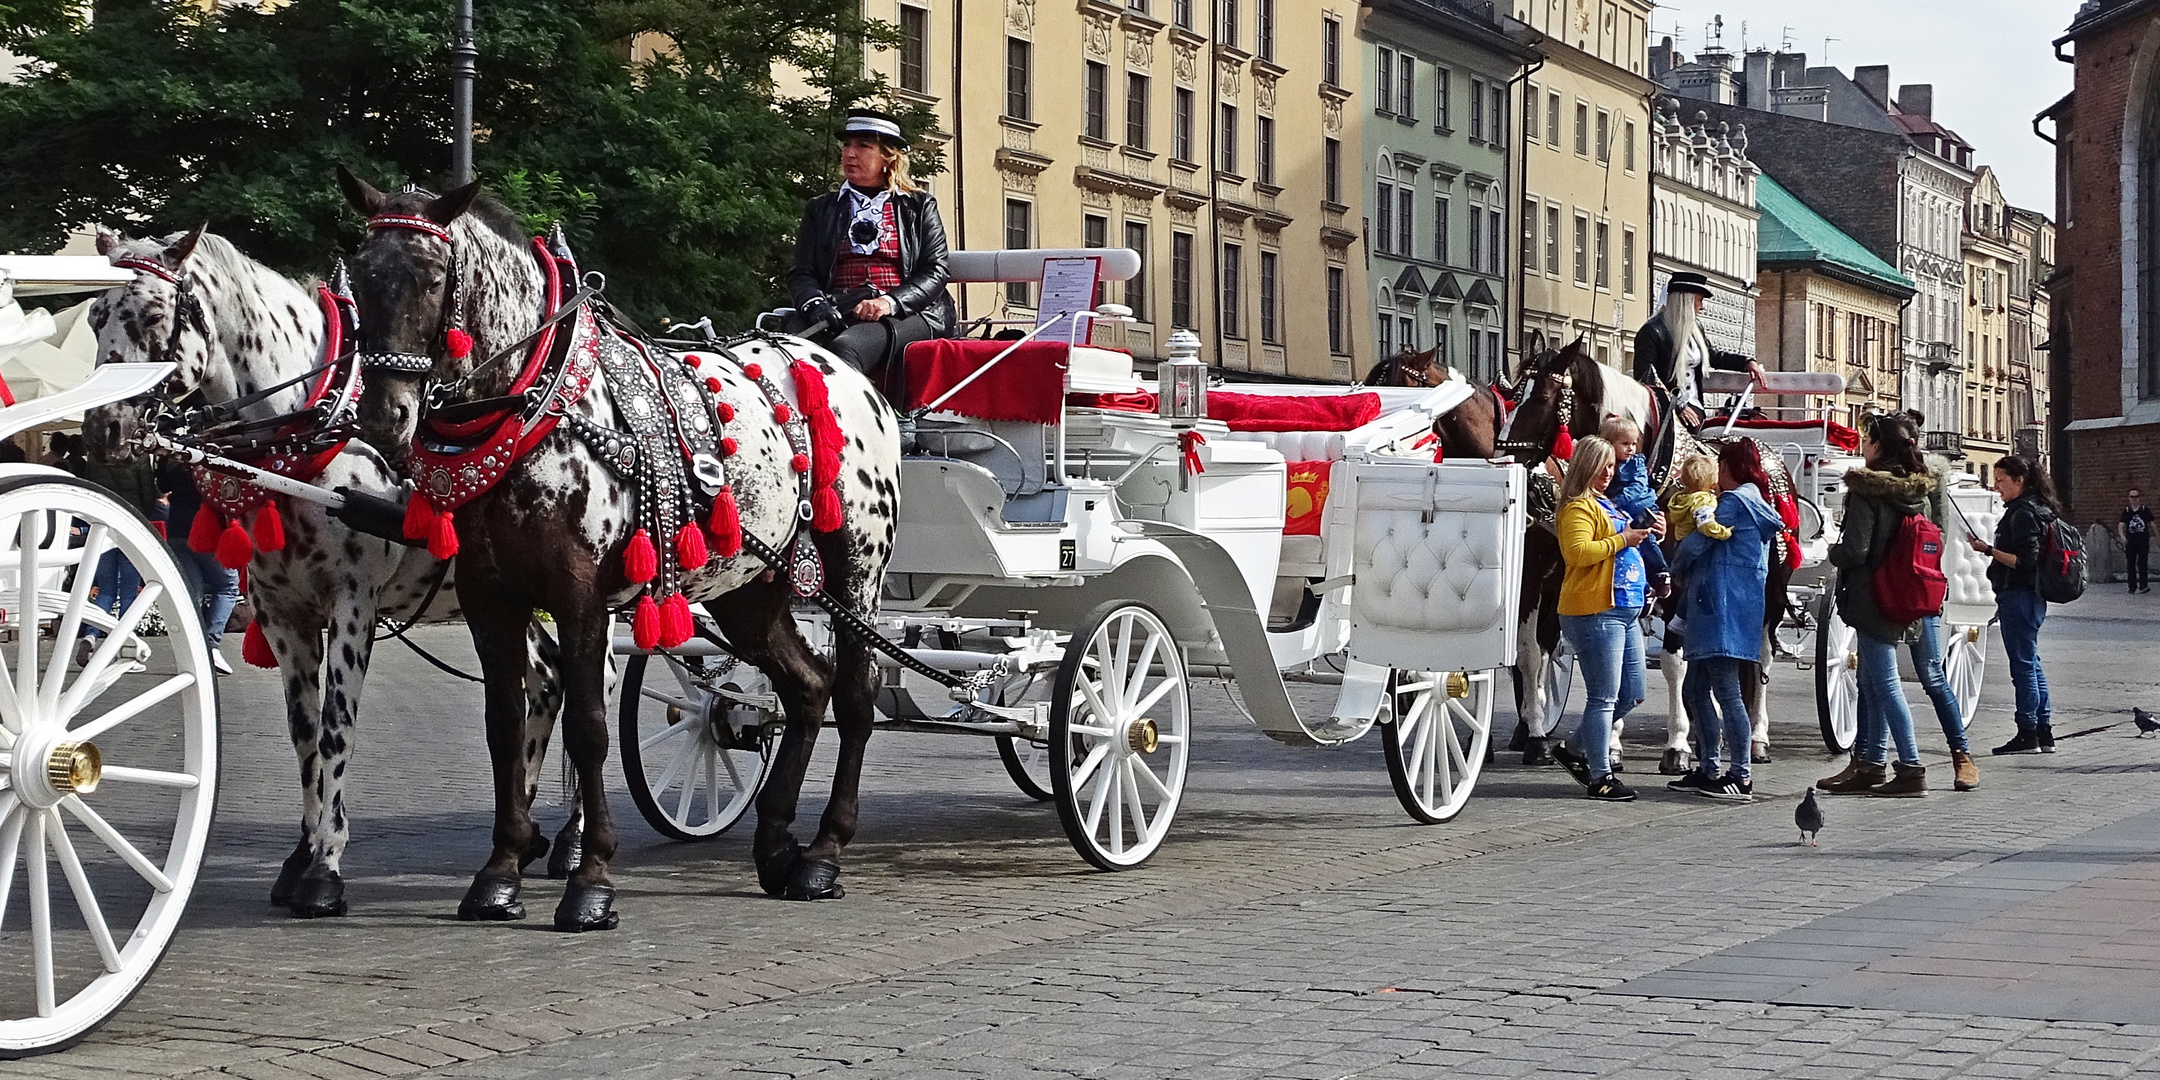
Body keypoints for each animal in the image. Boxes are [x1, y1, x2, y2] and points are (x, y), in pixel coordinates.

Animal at [84, 223, 574, 915]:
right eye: (95, 316)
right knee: (549, 678)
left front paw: (325, 867)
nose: (101, 427)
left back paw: (573, 843)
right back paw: (525, 834)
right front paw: (300, 855)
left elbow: (339, 726)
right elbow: (306, 733)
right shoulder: (282, 614)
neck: (307, 437)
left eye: (152, 315)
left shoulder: (351, 605)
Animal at [341, 170, 898, 928]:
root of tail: (844, 370)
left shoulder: (580, 597)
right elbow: (504, 725)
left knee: (856, 696)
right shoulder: (491, 598)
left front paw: (591, 880)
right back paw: (778, 847)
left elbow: (588, 729)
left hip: (857, 569)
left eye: (431, 276)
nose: (382, 415)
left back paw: (824, 853)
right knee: (807, 687)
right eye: (361, 275)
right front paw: (499, 874)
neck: (537, 402)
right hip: (750, 585)